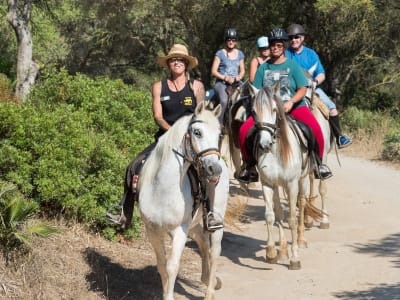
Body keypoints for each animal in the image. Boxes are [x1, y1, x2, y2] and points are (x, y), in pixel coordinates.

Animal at [139, 102, 230, 298]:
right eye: (197, 132)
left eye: (219, 135)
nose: (214, 169)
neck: (163, 190)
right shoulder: (153, 230)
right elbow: (161, 265)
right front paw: (165, 291)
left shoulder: (180, 230)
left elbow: (172, 266)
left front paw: (169, 296)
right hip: (193, 226)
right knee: (203, 243)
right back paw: (207, 279)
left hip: (214, 221)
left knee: (214, 252)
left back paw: (209, 291)